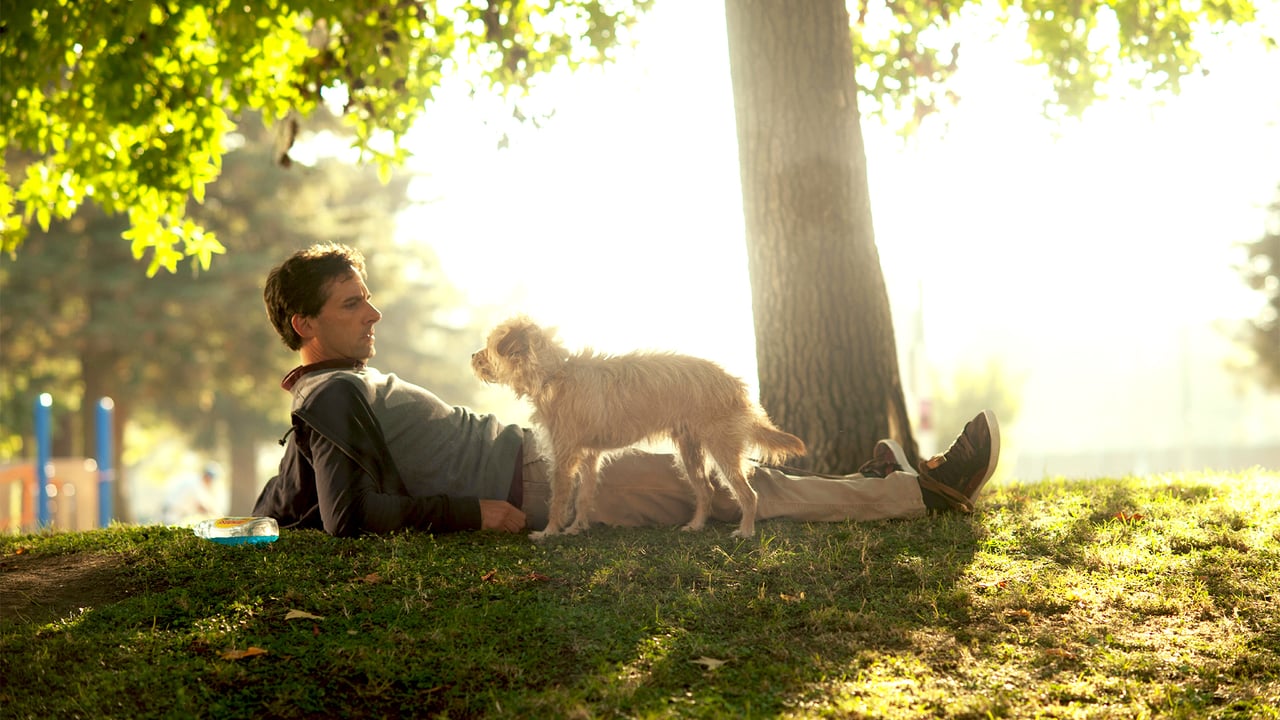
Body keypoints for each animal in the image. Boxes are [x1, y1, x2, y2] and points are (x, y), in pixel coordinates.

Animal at [476, 315, 803, 538]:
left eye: (489, 346)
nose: (472, 356)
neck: (554, 375)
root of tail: (734, 384)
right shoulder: (589, 456)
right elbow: (583, 496)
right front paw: (577, 528)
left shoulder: (565, 456)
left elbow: (559, 497)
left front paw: (549, 532)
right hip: (690, 452)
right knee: (706, 490)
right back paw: (696, 525)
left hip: (722, 450)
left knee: (748, 494)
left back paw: (745, 531)